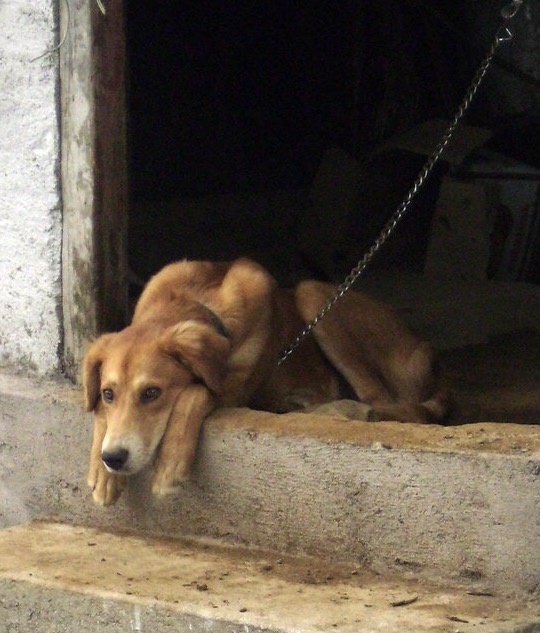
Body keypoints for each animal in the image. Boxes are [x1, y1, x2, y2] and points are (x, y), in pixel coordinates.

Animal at [83, 257, 449, 505]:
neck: (198, 301)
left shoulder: (235, 387)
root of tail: (429, 351)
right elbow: (97, 412)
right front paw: (103, 474)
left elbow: (194, 392)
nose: (113, 458)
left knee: (388, 403)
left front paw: (170, 465)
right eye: (108, 393)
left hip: (314, 295)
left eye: (152, 393)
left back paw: (342, 410)